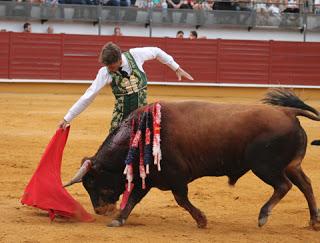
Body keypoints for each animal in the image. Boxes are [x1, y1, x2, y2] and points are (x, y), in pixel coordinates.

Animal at [65, 88, 320, 229]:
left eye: (92, 182)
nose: (100, 210)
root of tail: (287, 112)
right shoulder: (149, 177)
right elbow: (134, 198)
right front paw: (118, 219)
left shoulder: (176, 176)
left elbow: (181, 199)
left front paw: (202, 220)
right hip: (290, 166)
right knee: (306, 185)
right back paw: (314, 222)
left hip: (265, 166)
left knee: (284, 186)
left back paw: (263, 216)